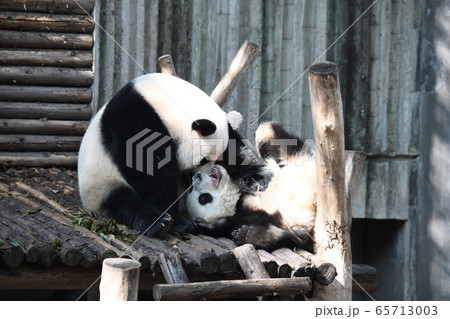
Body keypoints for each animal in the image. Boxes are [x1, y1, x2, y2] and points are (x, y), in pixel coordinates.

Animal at [77, 73, 270, 238]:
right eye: (204, 159)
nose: (204, 175)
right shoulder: (133, 119)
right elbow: (147, 168)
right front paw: (176, 221)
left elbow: (236, 149)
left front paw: (256, 180)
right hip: (101, 184)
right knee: (124, 203)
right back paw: (161, 224)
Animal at [185, 122, 316, 252]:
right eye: (203, 198)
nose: (197, 177)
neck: (237, 198)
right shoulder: (251, 214)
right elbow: (227, 224)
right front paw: (204, 225)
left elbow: (237, 157)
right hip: (293, 221)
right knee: (295, 237)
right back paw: (251, 235)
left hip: (297, 160)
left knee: (283, 143)